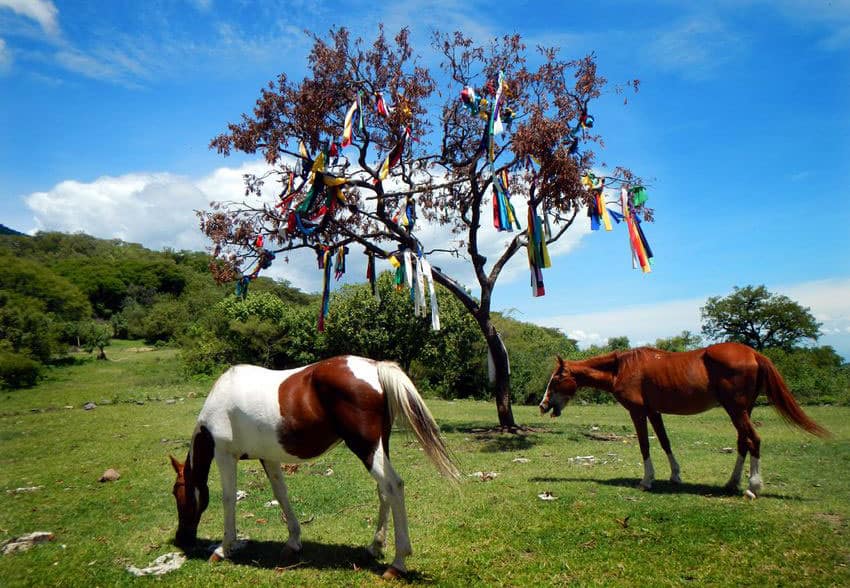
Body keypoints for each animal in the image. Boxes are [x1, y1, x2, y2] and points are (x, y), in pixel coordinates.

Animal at [171, 354, 458, 580]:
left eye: (177, 493)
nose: (182, 538)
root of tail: (375, 367)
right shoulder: (269, 458)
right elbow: (281, 495)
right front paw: (293, 542)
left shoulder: (224, 454)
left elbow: (229, 499)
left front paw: (223, 549)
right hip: (378, 447)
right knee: (383, 491)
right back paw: (375, 546)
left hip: (365, 448)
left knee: (394, 486)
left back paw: (398, 563)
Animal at [540, 342, 824, 498]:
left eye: (555, 380)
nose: (543, 405)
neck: (622, 368)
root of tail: (754, 354)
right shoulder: (654, 412)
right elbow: (664, 441)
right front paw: (675, 474)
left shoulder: (638, 412)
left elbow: (645, 445)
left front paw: (647, 481)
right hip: (743, 410)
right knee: (743, 442)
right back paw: (731, 483)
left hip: (736, 410)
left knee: (753, 440)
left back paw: (753, 487)